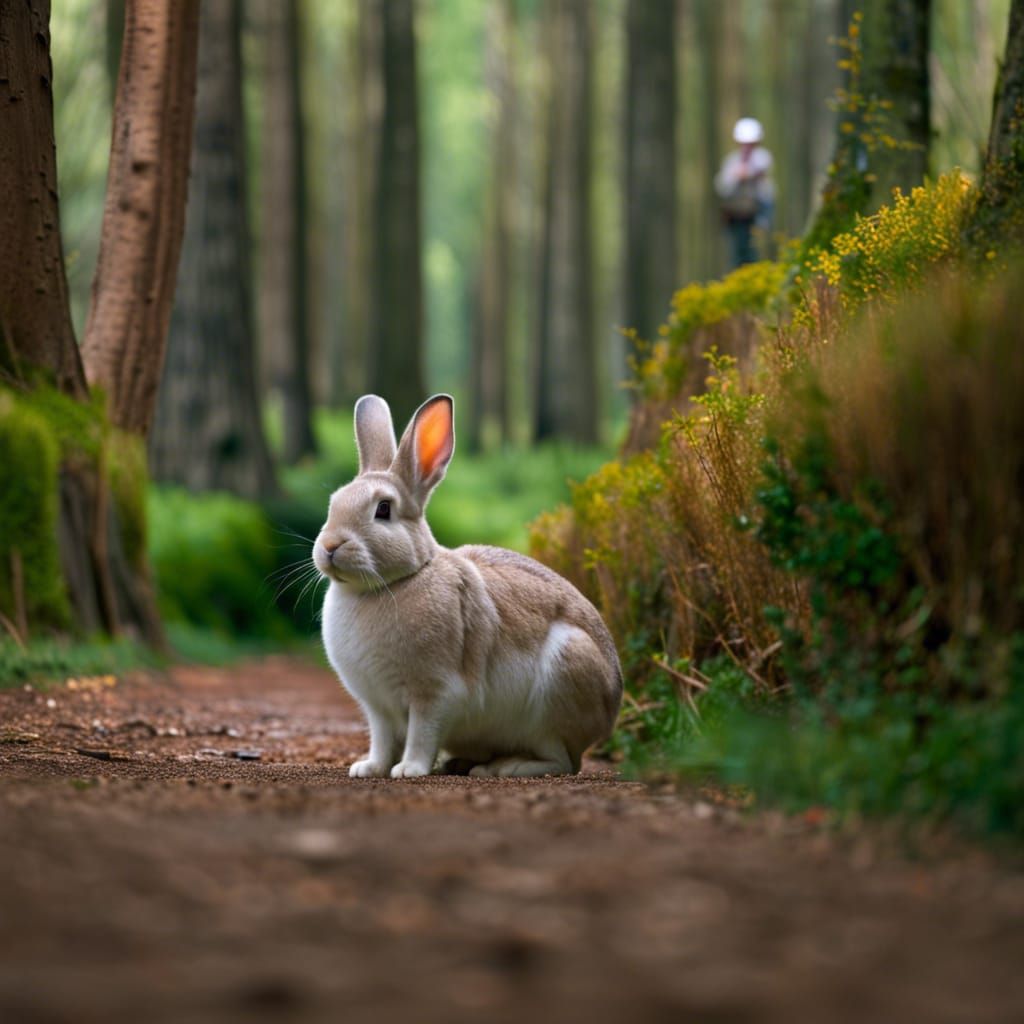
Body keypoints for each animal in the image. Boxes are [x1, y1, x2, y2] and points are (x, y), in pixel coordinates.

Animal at [313, 393, 623, 779]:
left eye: (383, 509)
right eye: (333, 502)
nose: (329, 547)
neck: (395, 582)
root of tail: (610, 710)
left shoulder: (434, 693)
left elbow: (421, 734)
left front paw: (409, 770)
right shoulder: (379, 708)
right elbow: (382, 742)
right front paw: (368, 769)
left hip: (559, 688)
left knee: (563, 761)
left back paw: (500, 768)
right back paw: (460, 763)